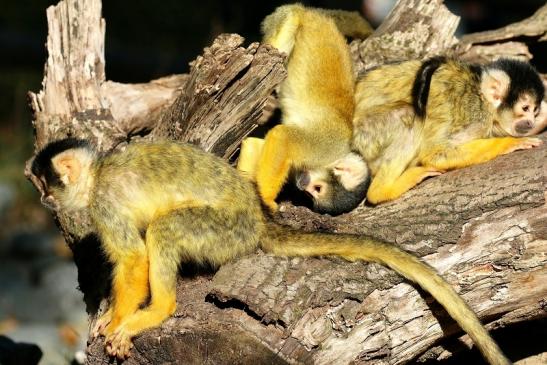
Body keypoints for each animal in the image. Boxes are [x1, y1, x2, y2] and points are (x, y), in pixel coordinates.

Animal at [32, 138, 512, 362]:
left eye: (44, 184)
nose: (43, 200)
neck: (96, 178)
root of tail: (259, 218)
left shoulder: (105, 203)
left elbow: (132, 257)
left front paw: (119, 320)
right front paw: (110, 315)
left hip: (226, 232)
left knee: (167, 229)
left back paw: (159, 310)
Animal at [239, 4, 372, 215]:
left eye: (314, 193)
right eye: (317, 189)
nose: (303, 187)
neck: (336, 156)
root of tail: (313, 13)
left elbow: (257, 144)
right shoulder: (324, 146)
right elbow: (283, 137)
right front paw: (266, 199)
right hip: (289, 18)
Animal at [348, 57, 544, 205]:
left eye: (535, 112)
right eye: (525, 108)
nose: (530, 122)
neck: (484, 100)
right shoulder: (475, 116)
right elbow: (433, 153)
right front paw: (510, 143)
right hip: (367, 136)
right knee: (410, 114)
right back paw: (382, 190)